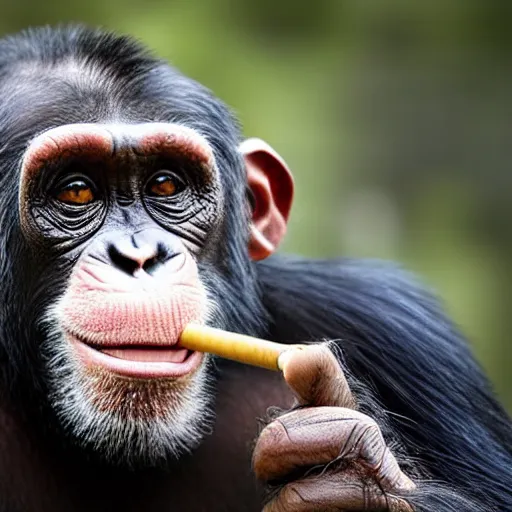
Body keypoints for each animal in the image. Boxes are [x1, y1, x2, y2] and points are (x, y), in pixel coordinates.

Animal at [0, 25, 508, 512]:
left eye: (165, 185)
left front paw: (353, 474)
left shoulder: (397, 328)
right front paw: (347, 475)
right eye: (76, 191)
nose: (140, 257)